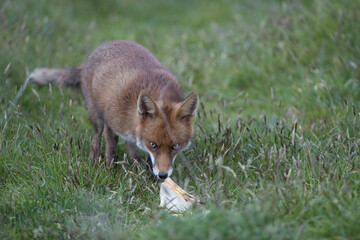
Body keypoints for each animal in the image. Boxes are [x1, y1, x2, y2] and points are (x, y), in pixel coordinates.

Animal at [30, 40, 200, 178]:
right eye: (153, 145)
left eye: (175, 146)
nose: (163, 175)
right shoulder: (110, 124)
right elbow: (111, 153)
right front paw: (109, 173)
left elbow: (145, 157)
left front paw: (148, 175)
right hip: (96, 117)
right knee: (96, 139)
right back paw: (93, 160)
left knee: (129, 145)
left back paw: (136, 163)